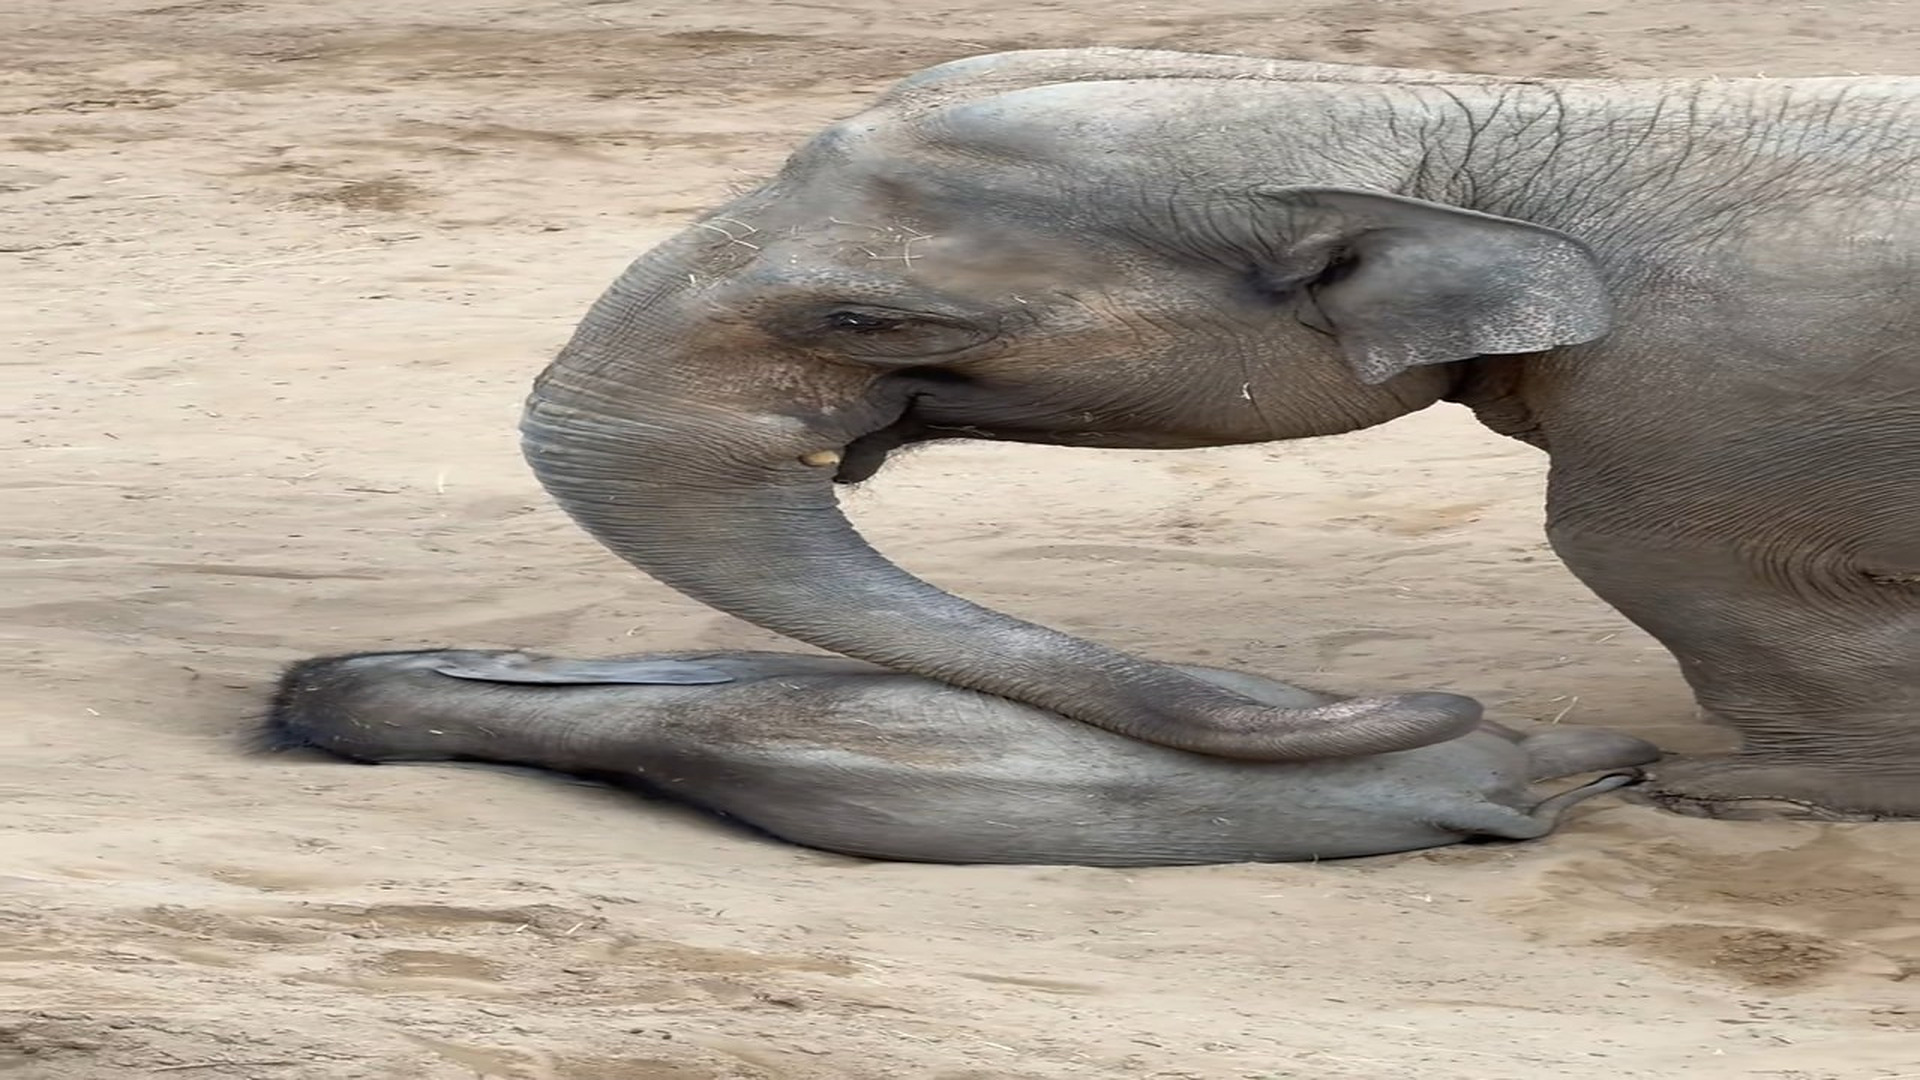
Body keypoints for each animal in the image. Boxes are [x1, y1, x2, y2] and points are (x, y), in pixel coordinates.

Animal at [516, 46, 1918, 820]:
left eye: (862, 316)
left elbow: (1664, 564)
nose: (1462, 713)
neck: (1503, 127)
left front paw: (1752, 797)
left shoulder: (1716, 404)